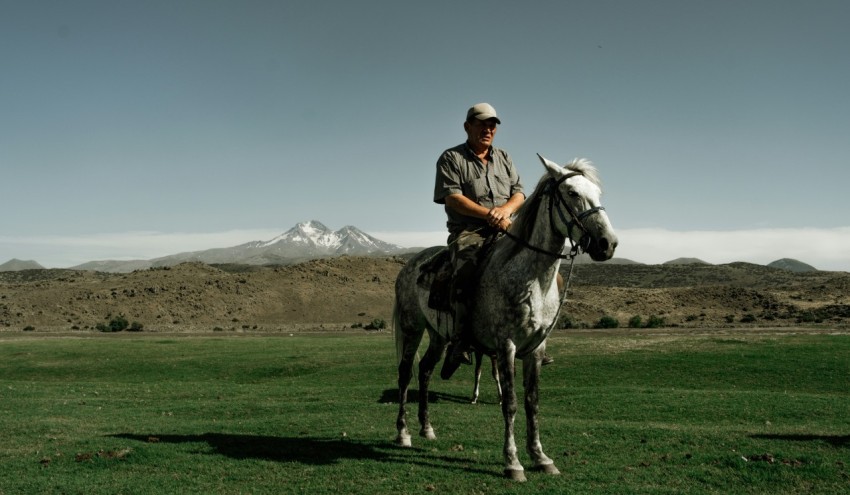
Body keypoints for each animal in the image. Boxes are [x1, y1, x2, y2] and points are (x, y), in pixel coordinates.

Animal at [390, 154, 616, 480]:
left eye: (597, 193)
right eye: (572, 193)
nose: (607, 244)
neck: (530, 279)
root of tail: (410, 266)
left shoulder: (536, 349)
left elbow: (532, 402)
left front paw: (541, 457)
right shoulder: (506, 346)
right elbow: (510, 403)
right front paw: (513, 462)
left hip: (438, 336)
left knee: (425, 371)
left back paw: (427, 428)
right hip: (412, 328)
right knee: (405, 373)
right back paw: (403, 433)